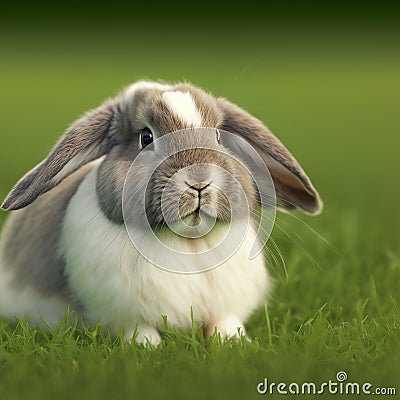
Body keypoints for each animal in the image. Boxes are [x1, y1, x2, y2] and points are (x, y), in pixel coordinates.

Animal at [0, 80, 320, 344]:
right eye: (146, 137)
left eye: (218, 136)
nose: (199, 181)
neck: (189, 245)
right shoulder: (124, 310)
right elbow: (139, 330)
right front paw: (147, 349)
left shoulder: (225, 304)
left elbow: (224, 322)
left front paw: (235, 342)